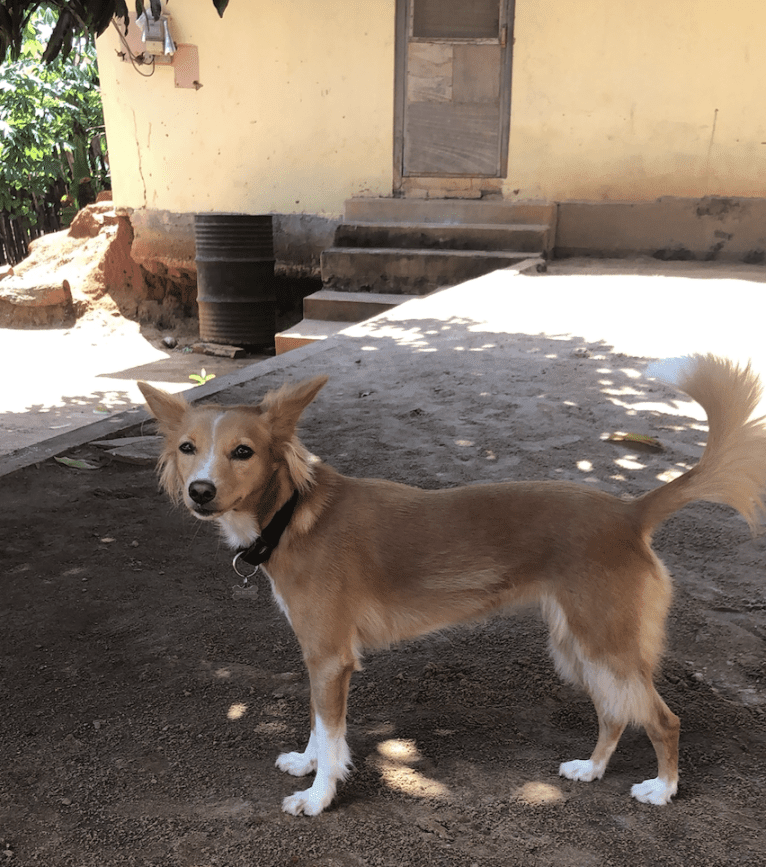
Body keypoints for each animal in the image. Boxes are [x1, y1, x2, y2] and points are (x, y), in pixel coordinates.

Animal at [138, 356, 766, 816]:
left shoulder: (330, 659)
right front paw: (307, 763)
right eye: (188, 448)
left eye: (242, 452)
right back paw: (592, 770)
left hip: (607, 642)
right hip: (578, 645)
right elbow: (319, 728)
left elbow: (333, 736)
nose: (199, 491)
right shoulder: (319, 657)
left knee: (662, 719)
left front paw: (318, 797)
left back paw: (663, 790)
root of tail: (629, 512)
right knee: (615, 713)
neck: (292, 515)